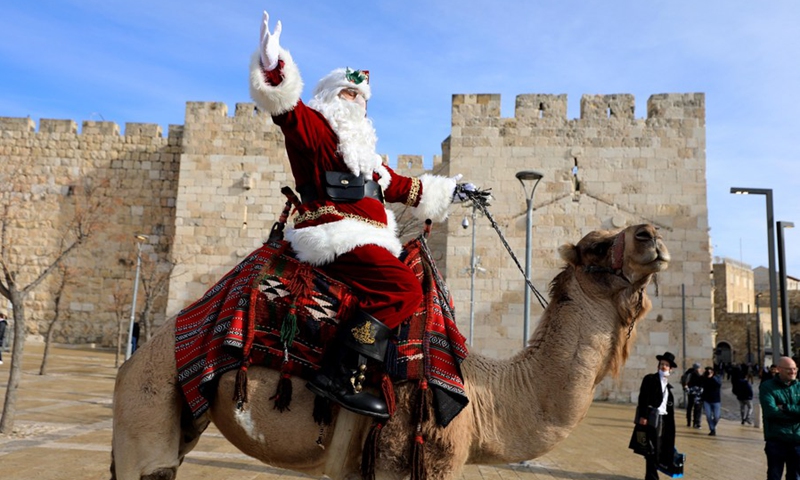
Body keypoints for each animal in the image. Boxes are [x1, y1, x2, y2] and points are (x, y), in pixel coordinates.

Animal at [108, 223, 668, 478]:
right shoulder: (409, 460)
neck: (483, 399)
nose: (652, 235)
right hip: (147, 404)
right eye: (598, 246)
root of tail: (133, 360)